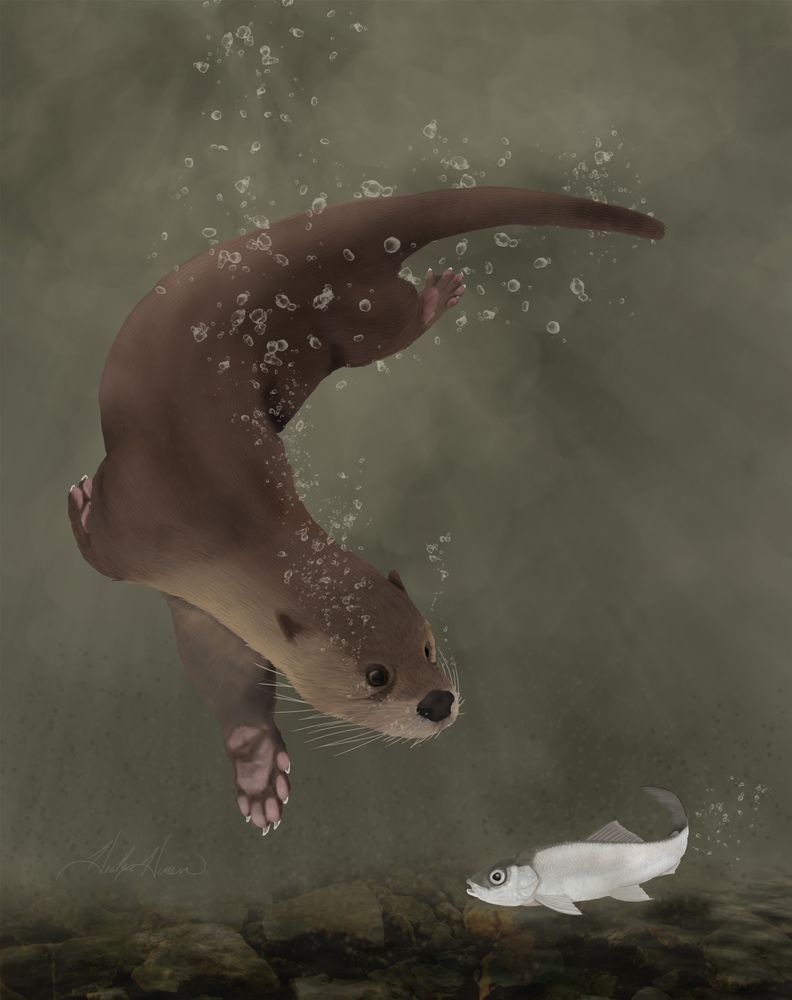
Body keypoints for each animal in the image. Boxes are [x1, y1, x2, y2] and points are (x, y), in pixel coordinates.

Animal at [68, 186, 664, 834]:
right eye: (377, 675)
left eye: (426, 645)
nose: (438, 701)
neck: (219, 522)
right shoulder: (152, 556)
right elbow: (217, 669)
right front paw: (258, 772)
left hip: (352, 312)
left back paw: (437, 295)